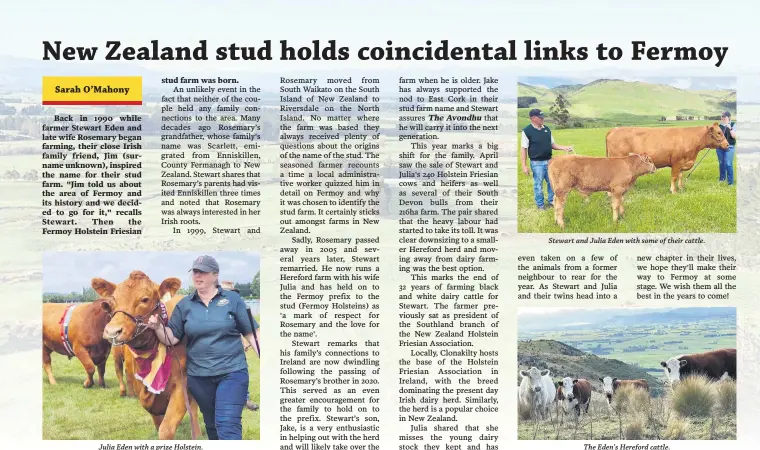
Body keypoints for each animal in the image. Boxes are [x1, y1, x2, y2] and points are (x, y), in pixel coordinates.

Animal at [93, 270, 202, 440]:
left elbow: (166, 429)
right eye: (114, 300)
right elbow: (158, 423)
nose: (112, 331)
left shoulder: (182, 386)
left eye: (145, 299)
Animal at [604, 123, 732, 193]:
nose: (727, 145)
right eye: (719, 133)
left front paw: (681, 188)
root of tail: (614, 129)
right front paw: (674, 191)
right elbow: (674, 177)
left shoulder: (683, 163)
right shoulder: (676, 162)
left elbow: (680, 176)